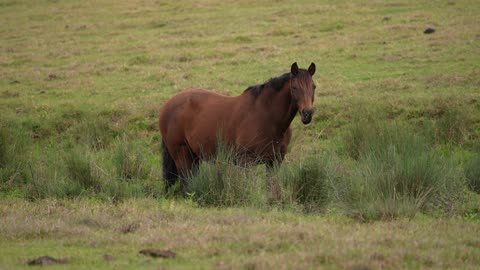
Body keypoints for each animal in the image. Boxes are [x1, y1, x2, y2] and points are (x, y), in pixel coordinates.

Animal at [159, 62, 316, 192]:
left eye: (314, 87)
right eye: (294, 87)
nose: (307, 113)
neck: (267, 117)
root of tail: (168, 105)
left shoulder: (274, 161)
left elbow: (271, 186)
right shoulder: (245, 162)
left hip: (194, 156)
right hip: (181, 154)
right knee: (186, 180)